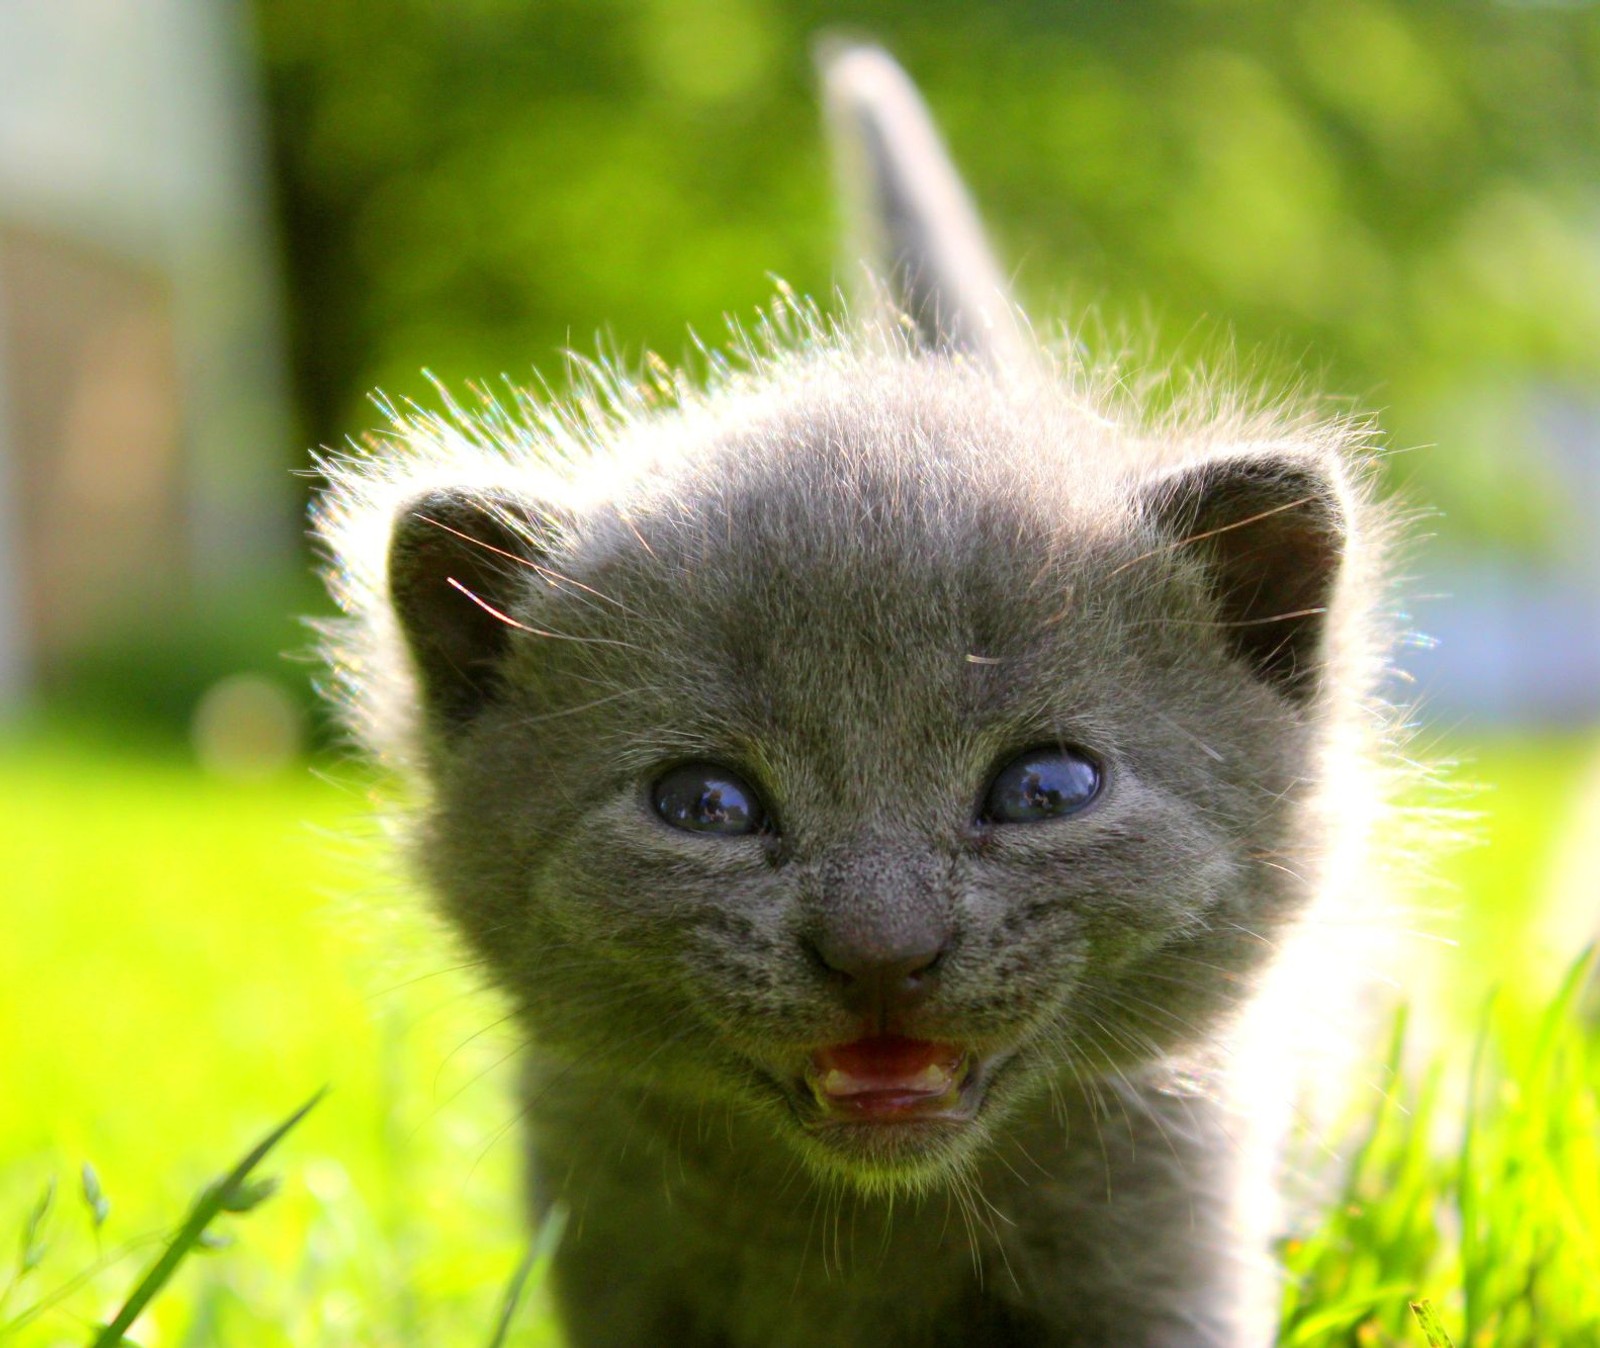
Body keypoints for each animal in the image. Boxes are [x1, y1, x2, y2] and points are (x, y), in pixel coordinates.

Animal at [318, 42, 1395, 1344]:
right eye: (706, 804)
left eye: (1045, 787)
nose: (884, 949)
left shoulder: (1167, 1238)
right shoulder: (607, 1236)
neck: (859, 1235)